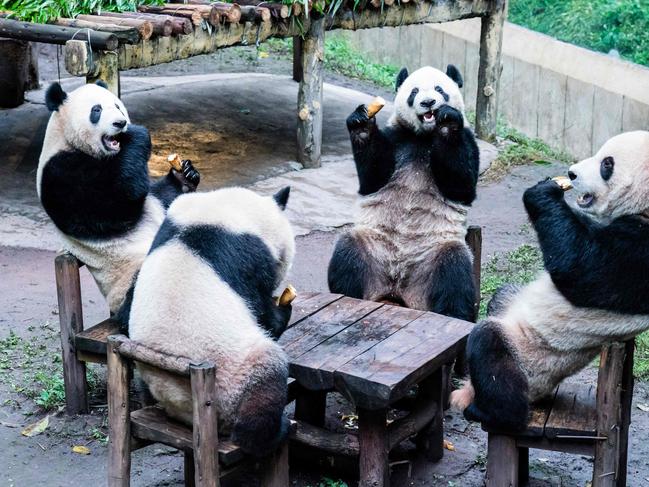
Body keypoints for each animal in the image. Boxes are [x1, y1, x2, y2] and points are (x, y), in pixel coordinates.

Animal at [37, 81, 199, 314]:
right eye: (96, 110)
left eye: (117, 106)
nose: (120, 123)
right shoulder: (59, 173)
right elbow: (113, 207)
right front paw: (136, 135)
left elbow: (158, 196)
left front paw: (184, 176)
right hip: (130, 281)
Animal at [121, 185, 294, 456]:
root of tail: (182, 405)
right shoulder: (247, 258)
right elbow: (263, 313)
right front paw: (283, 309)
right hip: (233, 378)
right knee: (266, 374)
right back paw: (271, 433)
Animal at [326, 66, 478, 324]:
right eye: (414, 92)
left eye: (439, 89)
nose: (428, 103)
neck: (423, 137)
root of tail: (397, 291)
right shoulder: (396, 138)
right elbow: (373, 177)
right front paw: (361, 125)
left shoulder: (468, 139)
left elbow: (462, 185)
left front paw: (447, 122)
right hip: (373, 247)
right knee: (348, 252)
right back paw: (348, 296)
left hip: (433, 256)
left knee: (454, 271)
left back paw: (454, 314)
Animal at [450, 132, 649, 432]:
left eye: (607, 164)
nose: (572, 173)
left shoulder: (641, 252)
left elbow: (581, 268)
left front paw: (542, 193)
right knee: (503, 295)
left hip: (530, 362)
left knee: (491, 349)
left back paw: (491, 412)